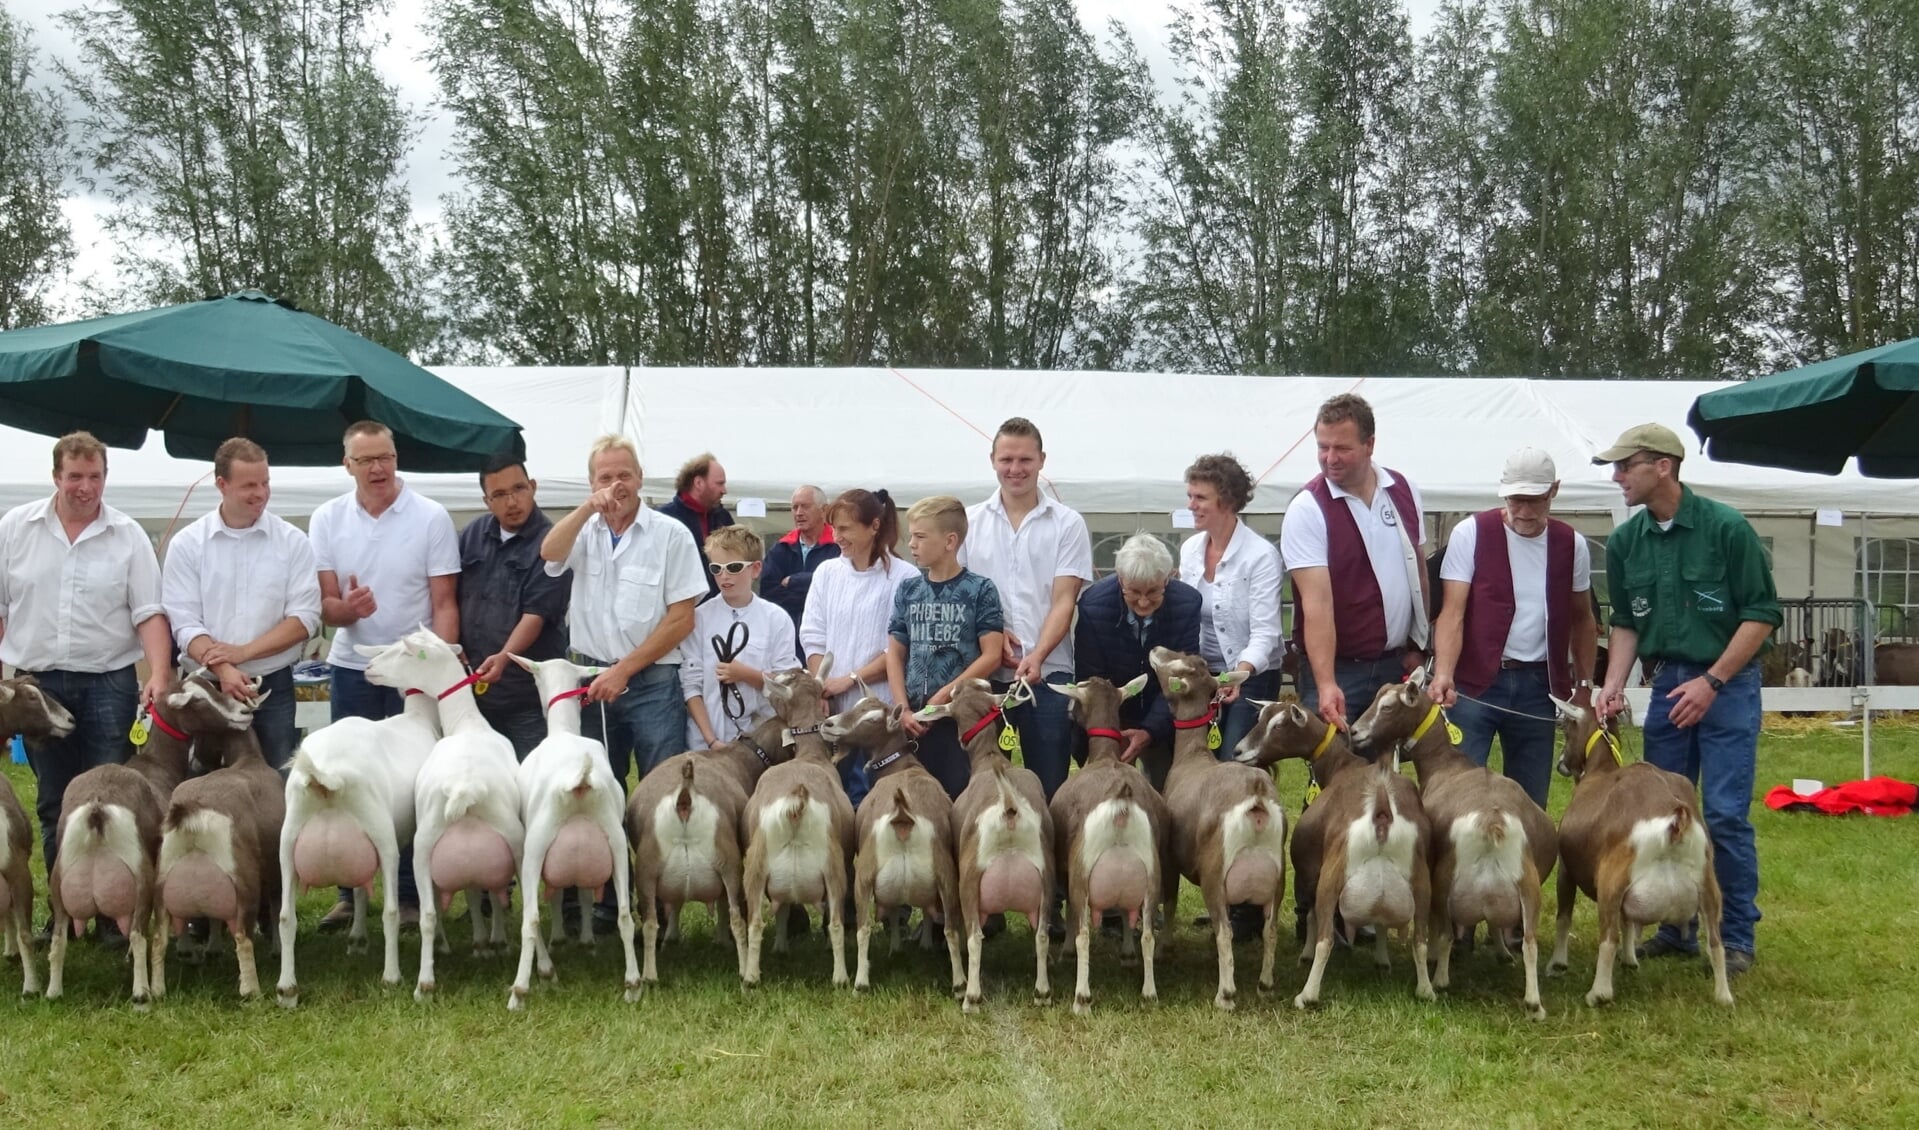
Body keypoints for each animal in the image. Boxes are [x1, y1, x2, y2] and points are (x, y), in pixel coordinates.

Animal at [278, 640, 441, 997]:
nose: (369, 670)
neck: (417, 716)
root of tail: (325, 778)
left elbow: (358, 889)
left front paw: (357, 939)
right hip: (382, 837)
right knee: (391, 912)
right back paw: (391, 976)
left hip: (288, 843)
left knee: (285, 917)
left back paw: (286, 988)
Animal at [360, 621, 521, 997]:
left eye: (403, 652)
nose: (368, 669)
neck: (468, 723)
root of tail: (465, 788)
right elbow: (480, 893)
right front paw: (486, 943)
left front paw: (487, 942)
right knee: (433, 913)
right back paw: (426, 983)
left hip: (435, 845)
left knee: (431, 914)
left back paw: (424, 982)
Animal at [502, 648, 637, 1005]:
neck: (563, 729)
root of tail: (581, 781)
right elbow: (582, 894)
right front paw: (586, 940)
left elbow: (555, 898)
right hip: (616, 845)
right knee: (625, 915)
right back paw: (633, 984)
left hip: (535, 846)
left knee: (530, 920)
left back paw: (519, 992)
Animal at [1350, 675, 1558, 1020]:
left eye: (1388, 707)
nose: (1354, 731)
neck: (1446, 765)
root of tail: (1491, 820)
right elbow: (1498, 927)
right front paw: (1503, 953)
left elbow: (1438, 930)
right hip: (1528, 887)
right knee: (1530, 942)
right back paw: (1534, 1003)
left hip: (1445, 880)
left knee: (1447, 933)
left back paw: (1440, 979)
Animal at [1550, 694, 1734, 1005]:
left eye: (1566, 727)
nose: (1560, 765)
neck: (1601, 770)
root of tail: (1675, 819)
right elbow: (1628, 921)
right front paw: (1630, 960)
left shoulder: (1566, 867)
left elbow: (1564, 916)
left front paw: (1557, 963)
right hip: (1708, 883)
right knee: (1715, 941)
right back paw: (1723, 996)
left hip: (1611, 880)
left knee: (1608, 936)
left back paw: (1598, 993)